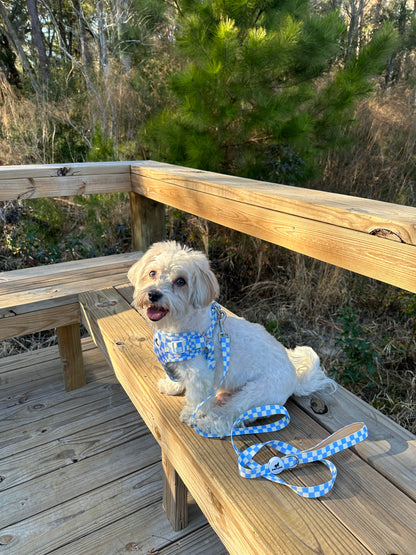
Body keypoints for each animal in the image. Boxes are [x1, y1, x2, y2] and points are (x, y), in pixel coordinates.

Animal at [128, 241, 336, 436]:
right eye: (152, 273)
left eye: (181, 281)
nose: (153, 294)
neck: (178, 327)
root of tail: (294, 380)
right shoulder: (180, 365)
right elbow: (178, 379)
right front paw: (171, 386)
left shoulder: (200, 376)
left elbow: (196, 400)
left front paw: (189, 414)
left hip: (253, 394)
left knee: (230, 418)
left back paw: (209, 424)